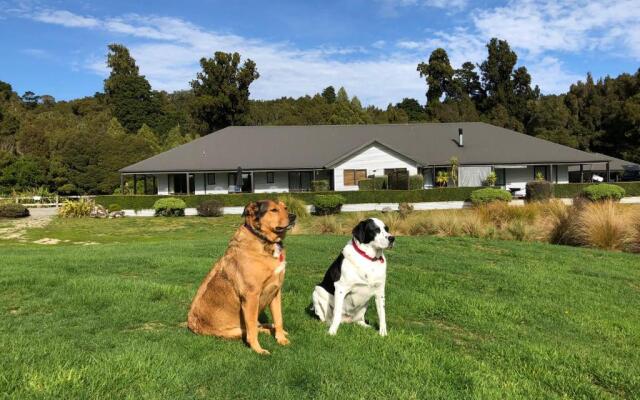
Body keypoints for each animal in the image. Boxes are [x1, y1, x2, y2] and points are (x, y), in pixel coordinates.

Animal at [185, 199, 296, 354]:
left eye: (285, 207)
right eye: (273, 210)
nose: (294, 216)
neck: (263, 240)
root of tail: (190, 325)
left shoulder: (276, 291)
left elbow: (279, 318)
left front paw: (281, 339)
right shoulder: (251, 296)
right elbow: (252, 330)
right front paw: (258, 350)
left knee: (261, 325)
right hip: (236, 330)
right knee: (252, 330)